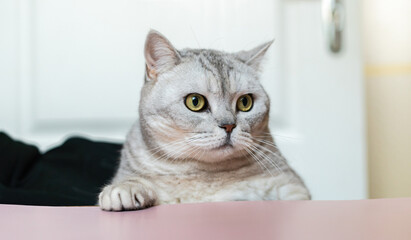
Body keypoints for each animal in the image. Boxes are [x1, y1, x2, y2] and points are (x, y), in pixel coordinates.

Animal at [98, 29, 310, 210]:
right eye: (195, 101)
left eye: (245, 102)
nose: (229, 125)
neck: (203, 176)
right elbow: (132, 182)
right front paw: (124, 190)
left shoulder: (292, 185)